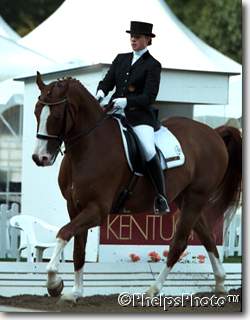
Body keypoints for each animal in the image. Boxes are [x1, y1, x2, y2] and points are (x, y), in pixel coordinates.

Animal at [32, 71, 241, 302]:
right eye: (36, 112)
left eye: (56, 116)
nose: (39, 158)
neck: (88, 147)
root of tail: (214, 134)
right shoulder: (75, 206)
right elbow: (78, 249)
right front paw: (75, 292)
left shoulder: (97, 209)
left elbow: (63, 233)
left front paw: (54, 283)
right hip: (185, 198)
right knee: (207, 237)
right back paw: (220, 284)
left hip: (197, 197)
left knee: (179, 244)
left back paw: (153, 290)